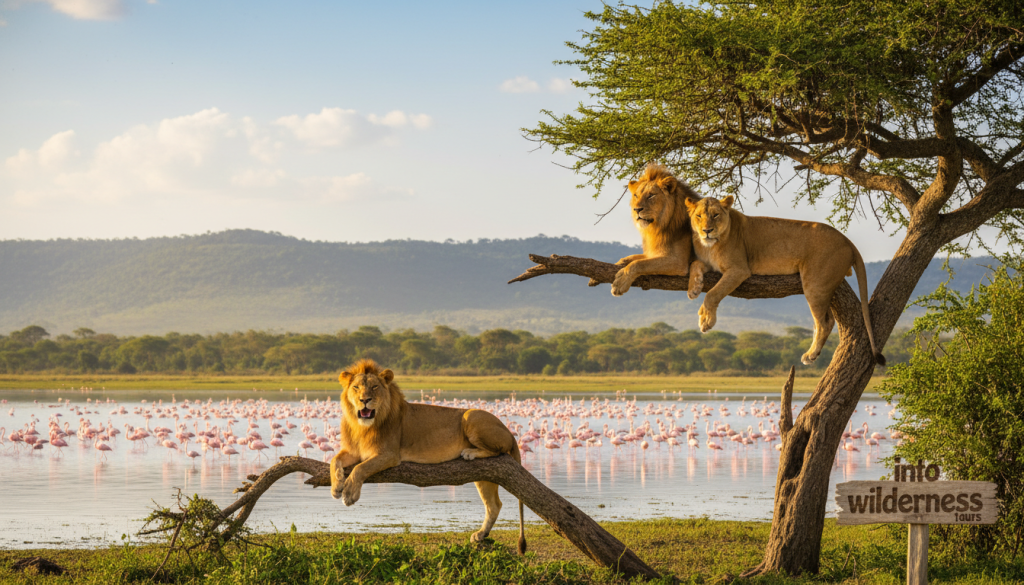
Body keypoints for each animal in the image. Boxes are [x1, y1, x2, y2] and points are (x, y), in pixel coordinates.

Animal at [329, 359, 526, 554]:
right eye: (356, 387)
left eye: (375, 387)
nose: (364, 400)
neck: (362, 426)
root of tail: (508, 431)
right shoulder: (354, 452)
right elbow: (334, 460)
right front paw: (336, 486)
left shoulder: (389, 454)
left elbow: (361, 468)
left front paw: (349, 493)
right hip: (485, 476)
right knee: (494, 505)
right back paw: (481, 534)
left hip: (471, 416)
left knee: (498, 451)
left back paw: (470, 452)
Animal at [610, 164, 701, 296]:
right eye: (636, 195)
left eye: (651, 195)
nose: (636, 209)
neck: (658, 228)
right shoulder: (653, 252)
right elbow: (628, 258)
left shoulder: (678, 261)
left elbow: (639, 263)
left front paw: (621, 281)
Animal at [684, 196, 885, 366]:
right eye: (699, 216)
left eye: (716, 215)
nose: (707, 231)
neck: (710, 246)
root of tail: (846, 239)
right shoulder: (708, 264)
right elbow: (694, 264)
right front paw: (693, 288)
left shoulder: (739, 269)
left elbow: (713, 293)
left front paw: (706, 320)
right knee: (820, 322)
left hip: (815, 284)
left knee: (825, 322)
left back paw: (811, 355)